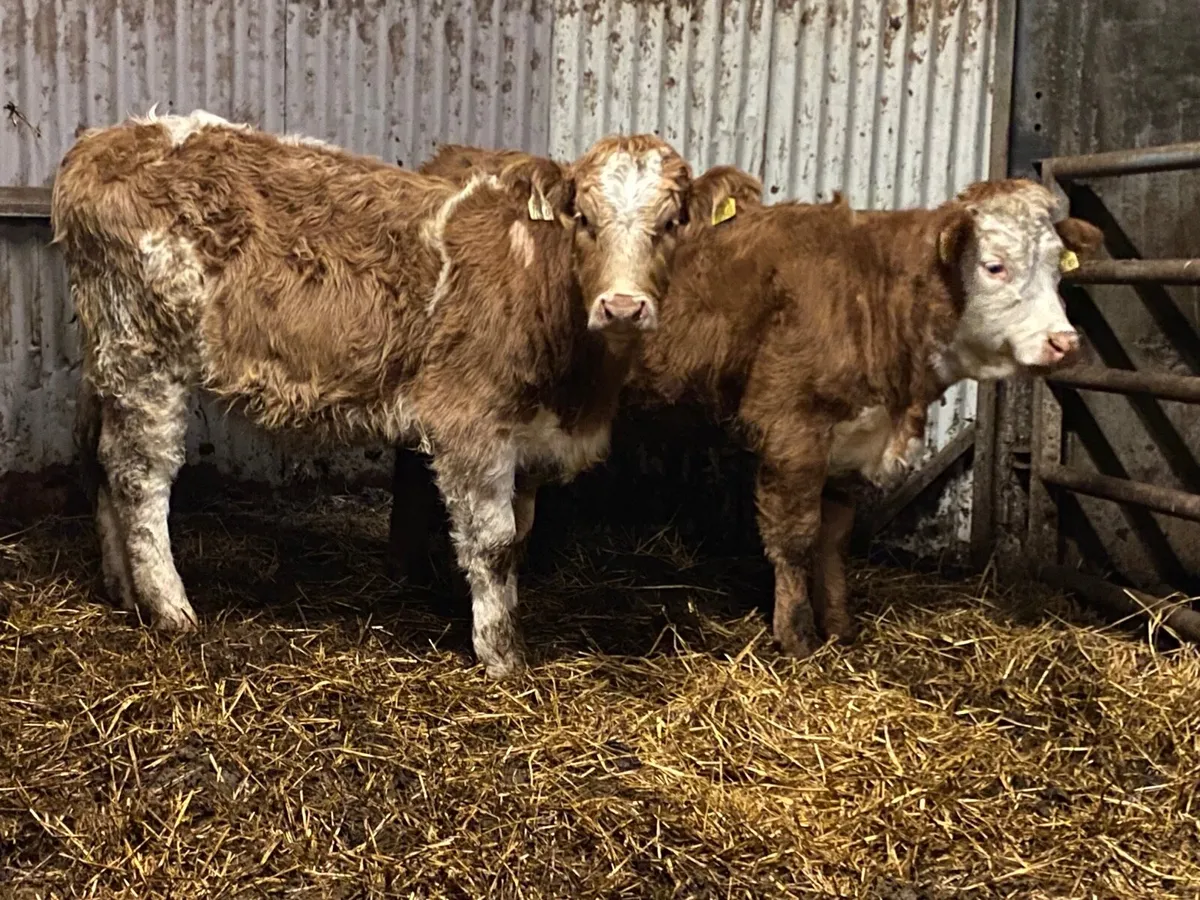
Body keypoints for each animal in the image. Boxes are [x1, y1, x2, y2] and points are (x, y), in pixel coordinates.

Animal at [51, 109, 696, 679]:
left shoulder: (531, 438)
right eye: (584, 217)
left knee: (98, 458)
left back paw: (121, 589)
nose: (622, 306)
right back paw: (170, 608)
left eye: (672, 224)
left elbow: (520, 537)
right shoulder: (469, 421)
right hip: (145, 353)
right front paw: (501, 656)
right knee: (139, 475)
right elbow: (493, 543)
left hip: (110, 358)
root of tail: (103, 142)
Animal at [385, 148, 1105, 658]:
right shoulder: (791, 426)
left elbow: (834, 537)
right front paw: (797, 635)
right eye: (994, 266)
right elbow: (795, 536)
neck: (870, 290)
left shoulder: (850, 440)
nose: (1064, 341)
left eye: (1058, 267)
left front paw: (841, 624)